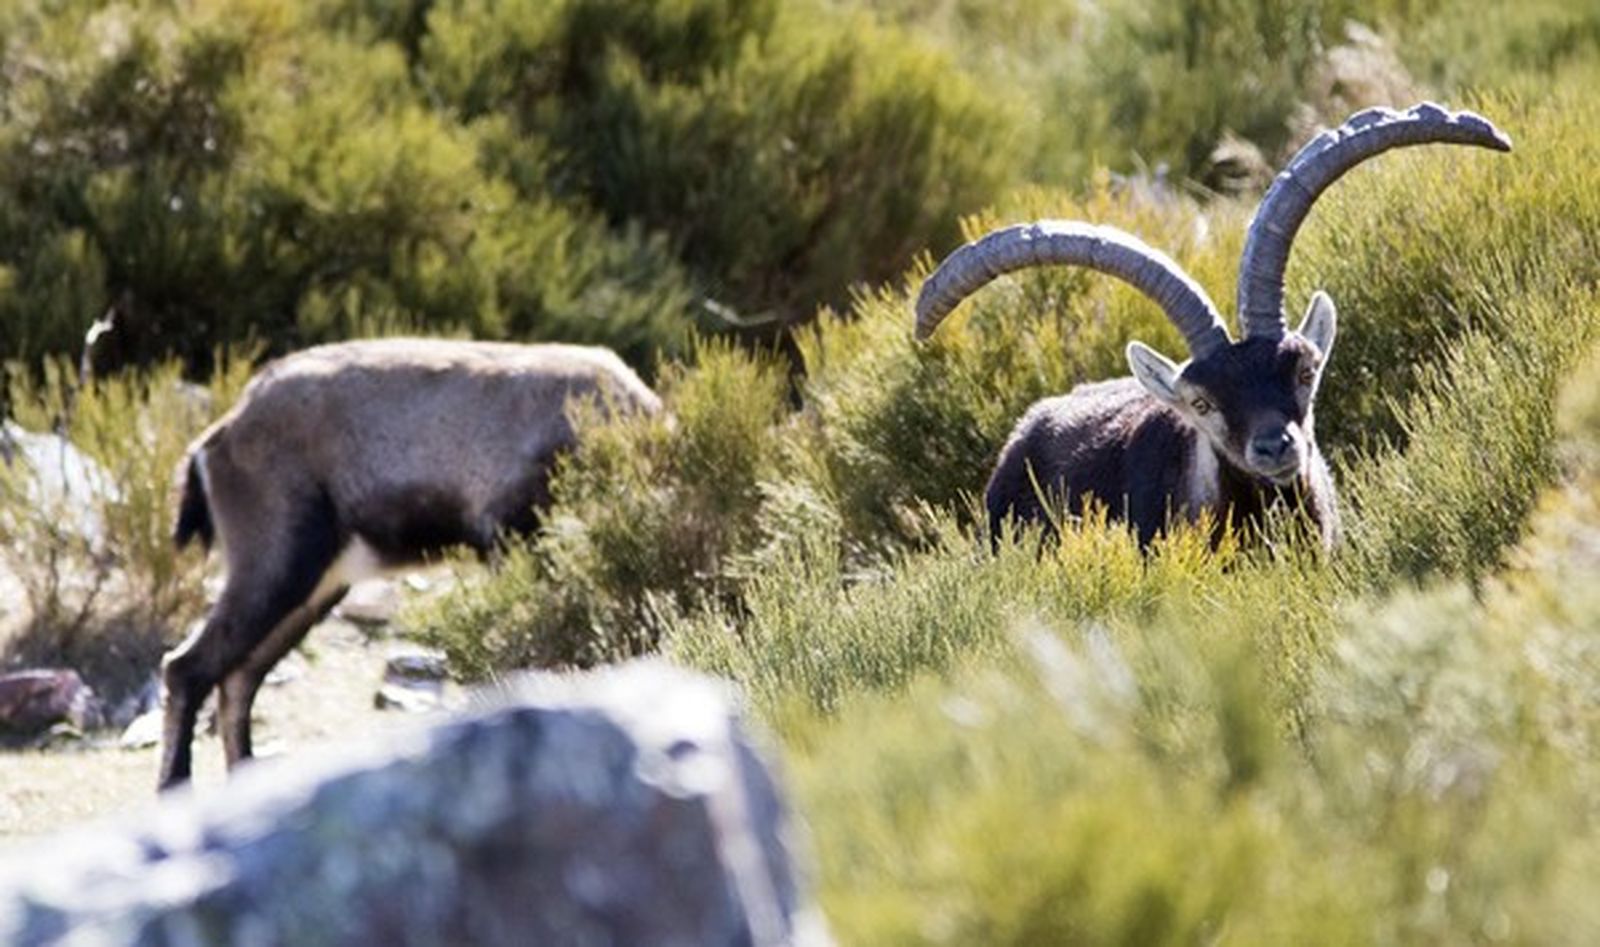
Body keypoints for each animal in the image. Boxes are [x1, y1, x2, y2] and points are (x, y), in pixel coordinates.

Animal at [160, 338, 661, 790]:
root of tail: (218, 438)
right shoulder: (513, 541)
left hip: (316, 587)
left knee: (239, 677)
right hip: (275, 562)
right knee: (188, 668)